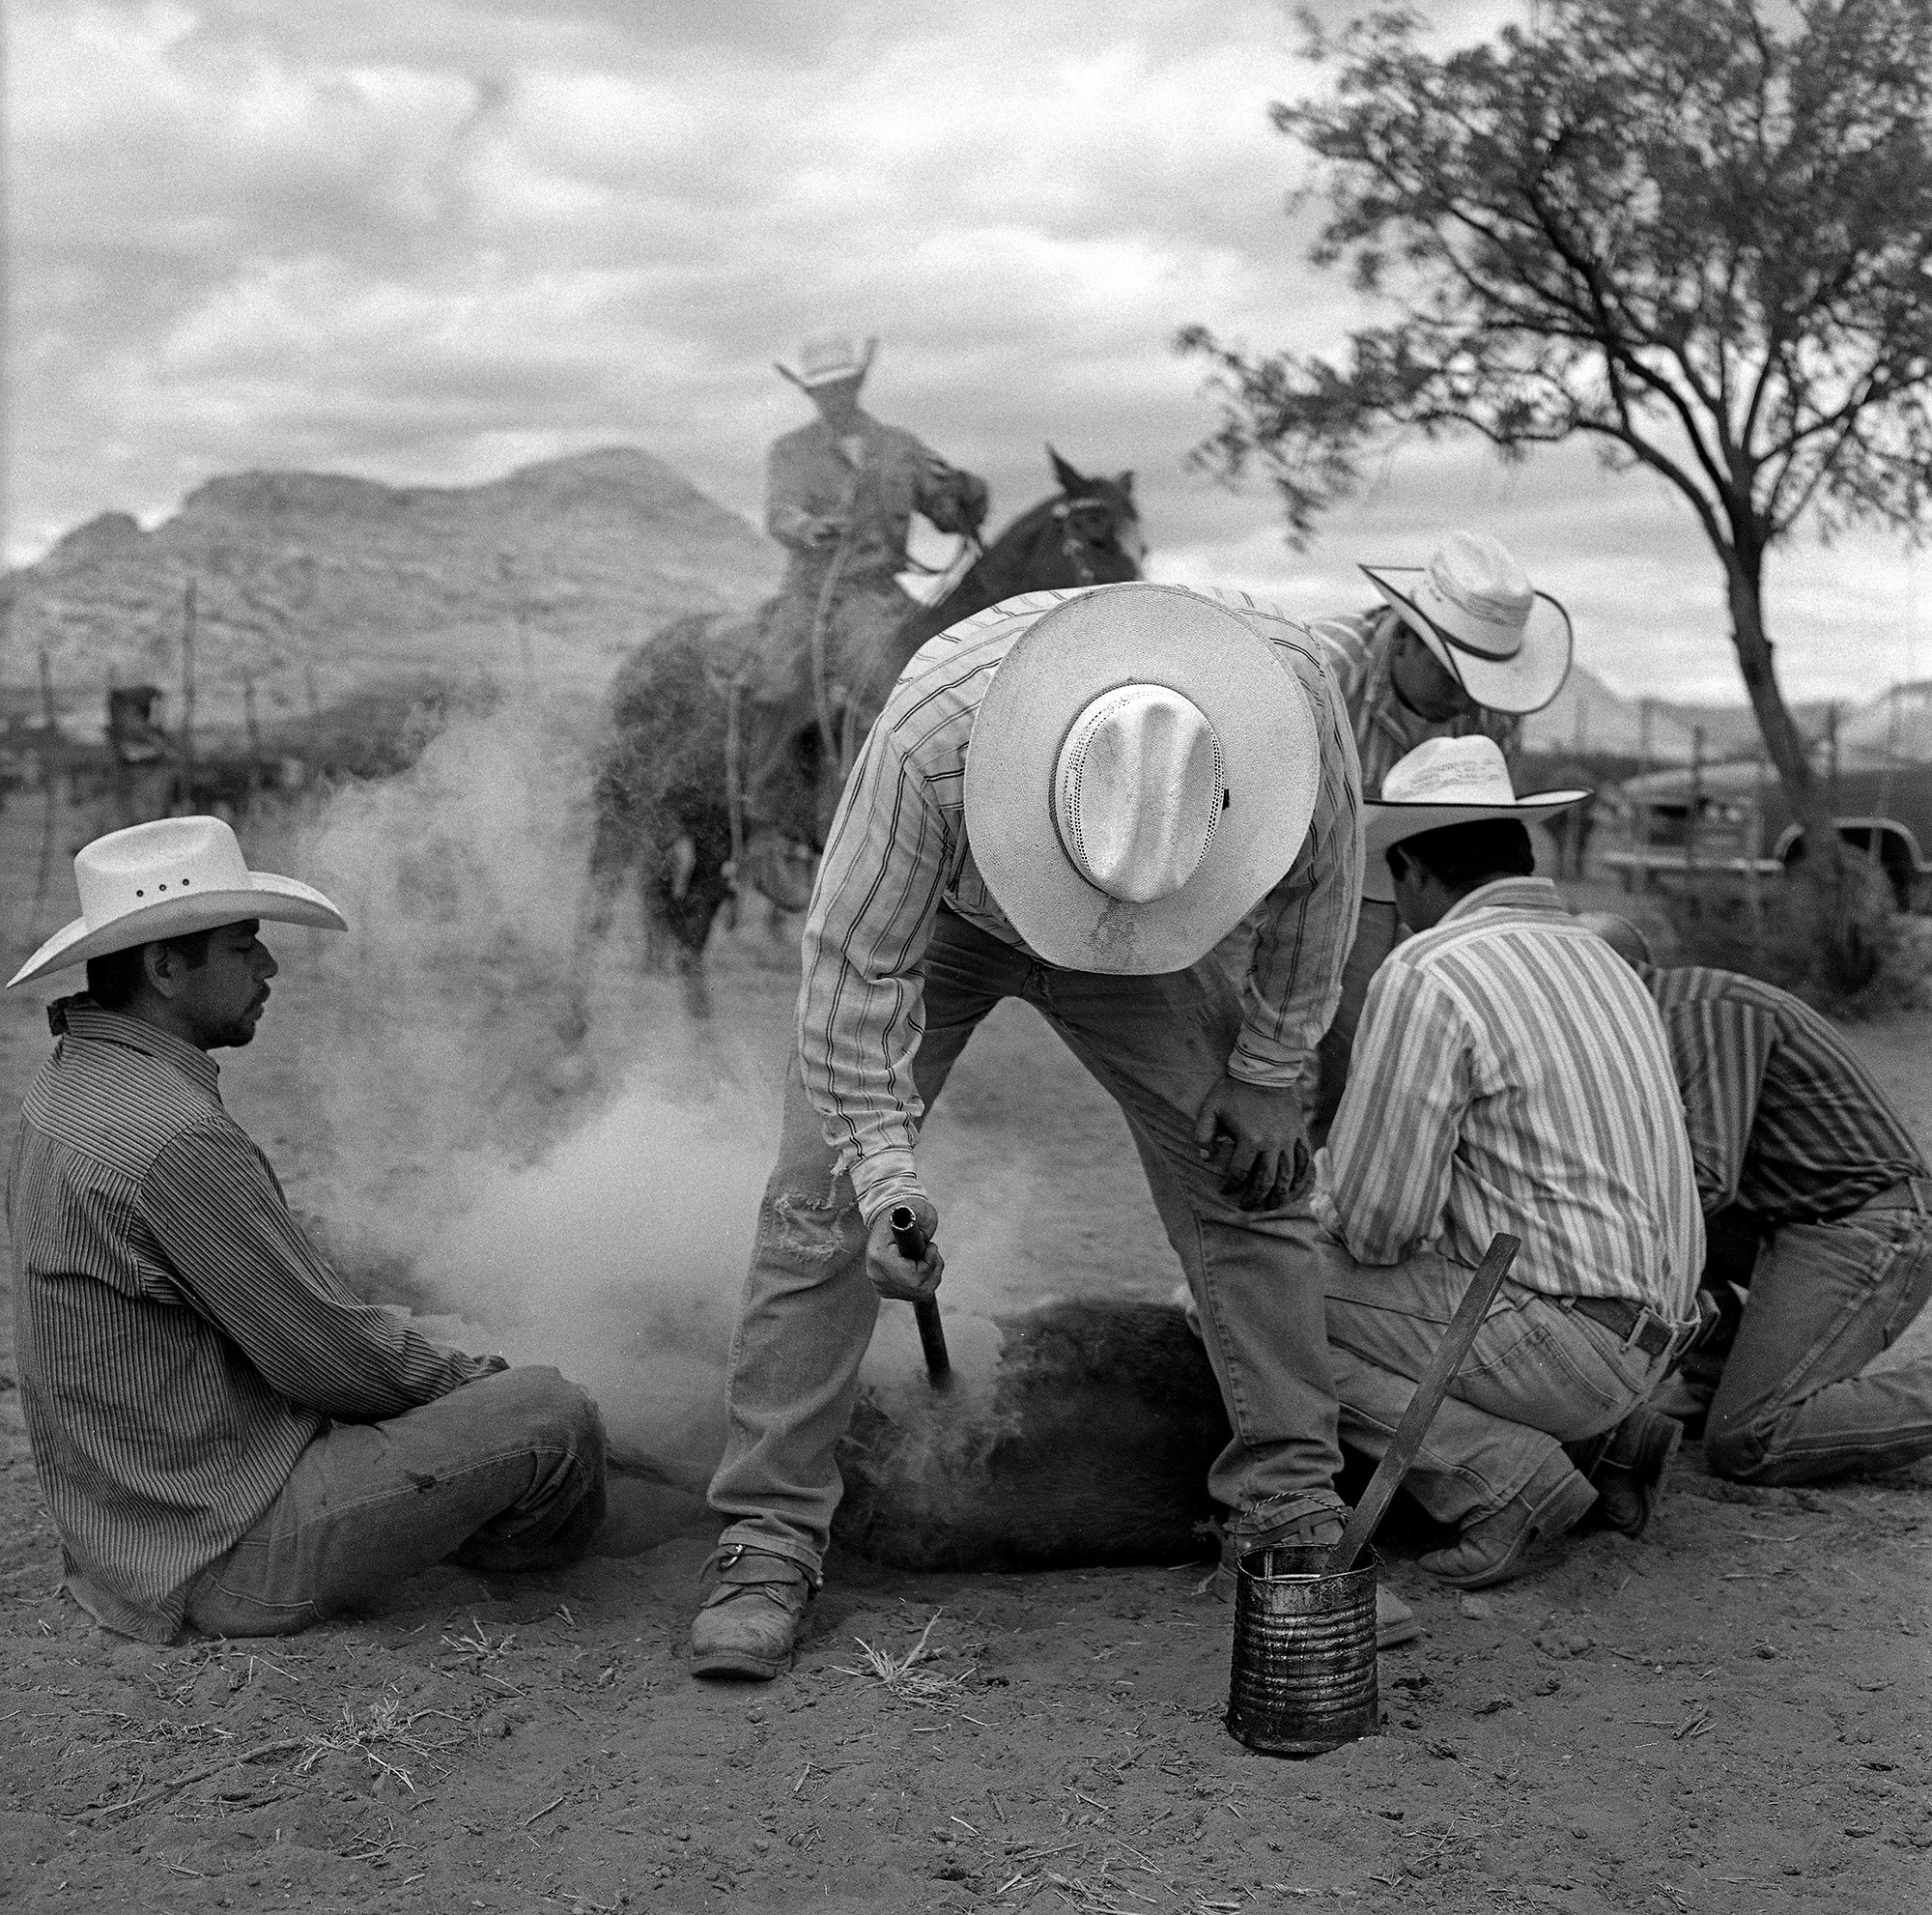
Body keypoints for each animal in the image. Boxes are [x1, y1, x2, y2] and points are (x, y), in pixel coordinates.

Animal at [580, 446, 1136, 1005]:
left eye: (1140, 538)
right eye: (1093, 533)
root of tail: (638, 661)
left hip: (707, 830)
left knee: (686, 921)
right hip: (626, 813)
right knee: (604, 910)